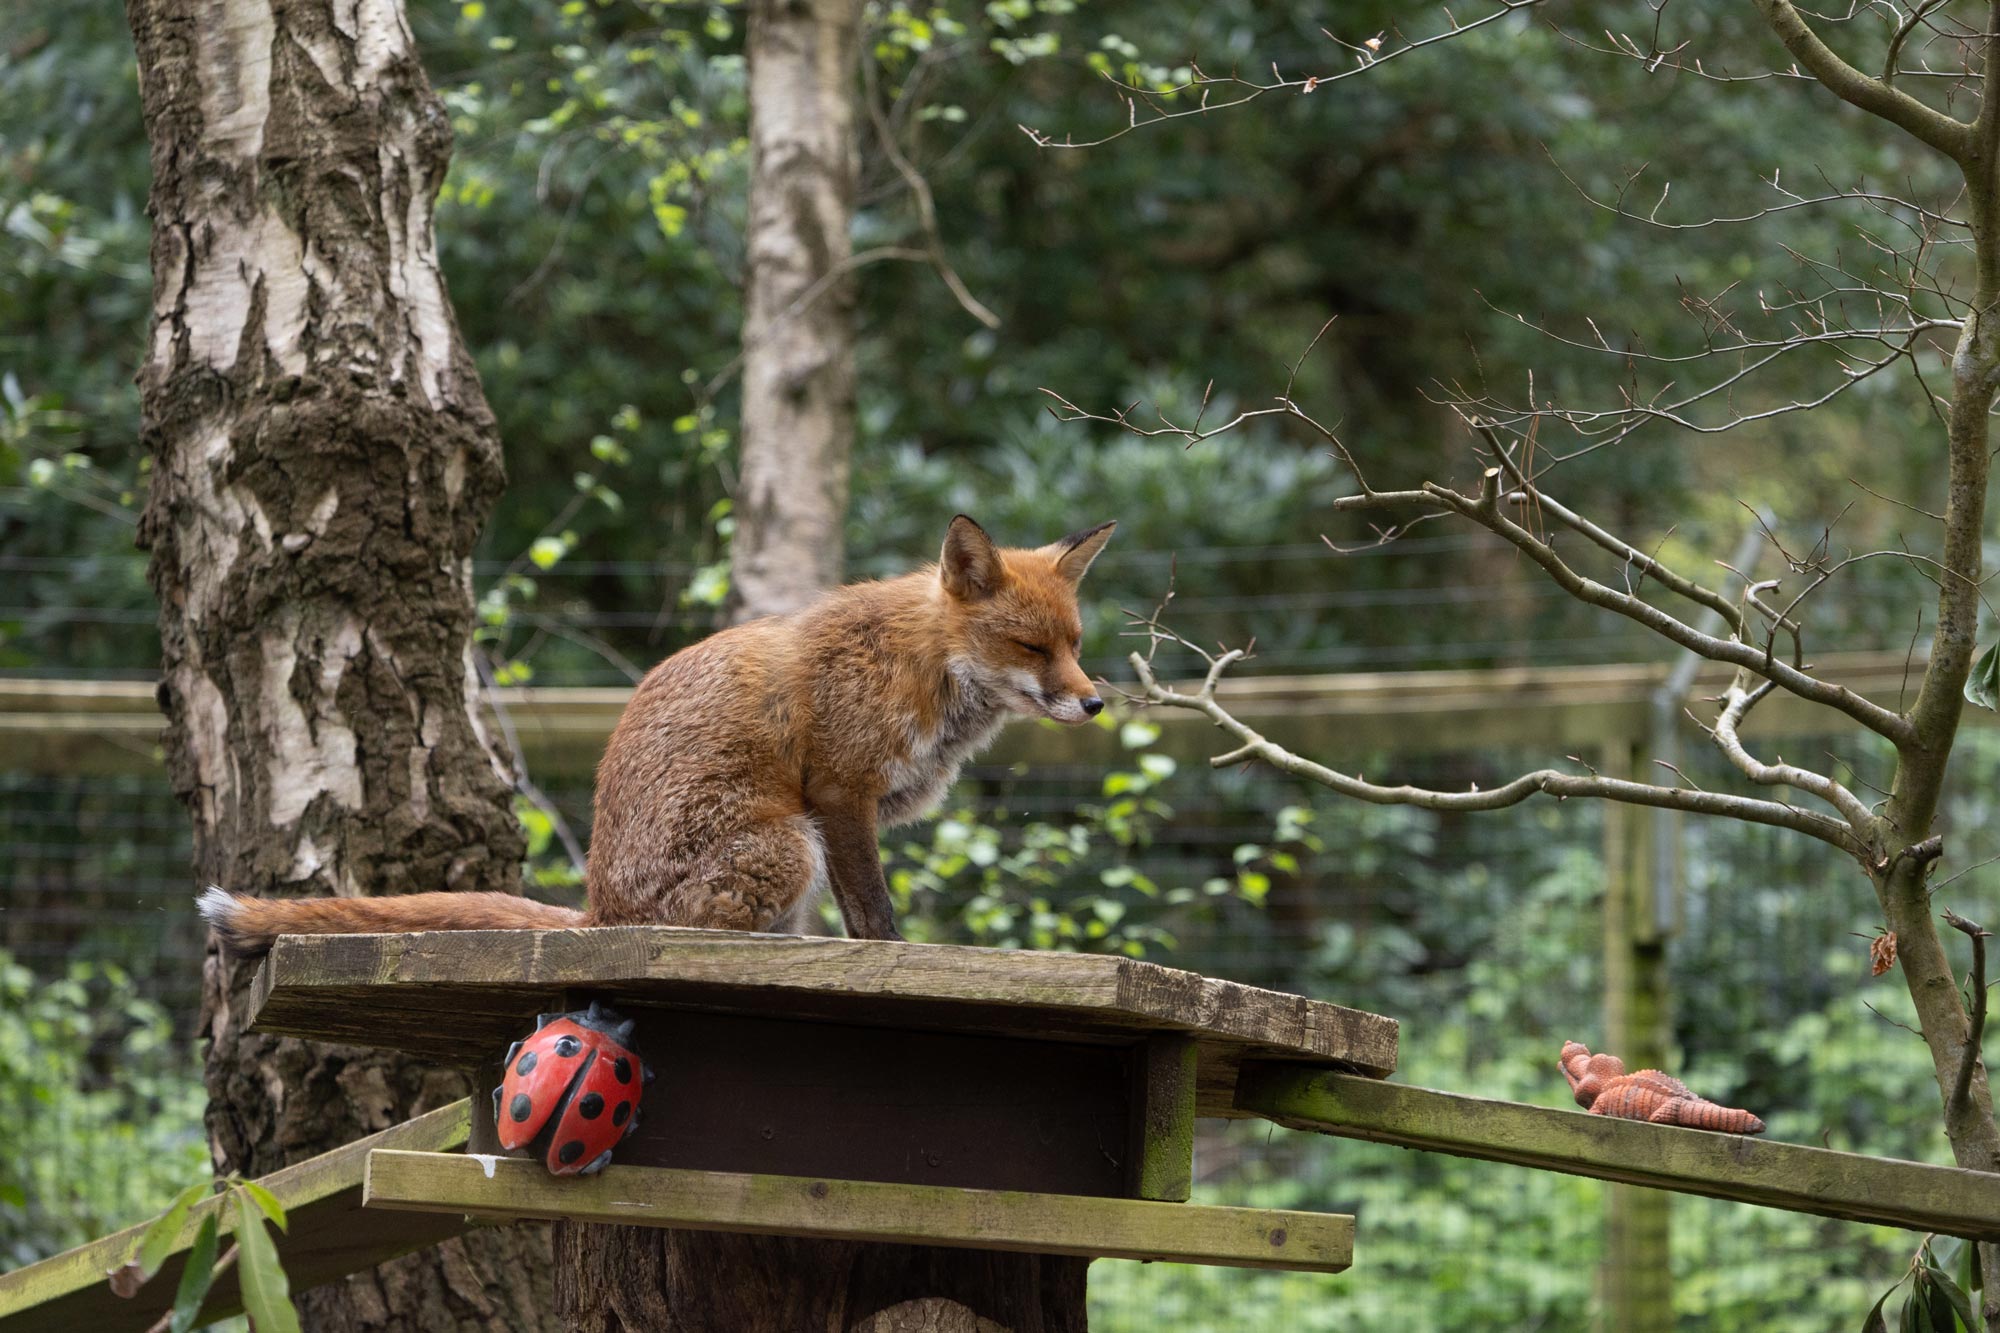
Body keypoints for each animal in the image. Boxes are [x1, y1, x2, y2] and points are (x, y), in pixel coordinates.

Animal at [199, 515, 1115, 951]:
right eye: (1031, 647)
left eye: (1075, 643)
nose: (1096, 703)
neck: (921, 665)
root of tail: (599, 912)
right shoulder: (838, 794)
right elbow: (875, 914)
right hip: (789, 842)